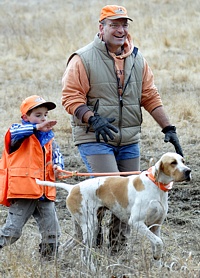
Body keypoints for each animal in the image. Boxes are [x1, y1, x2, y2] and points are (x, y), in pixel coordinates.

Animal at [36, 152, 191, 272]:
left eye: (183, 161)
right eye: (173, 162)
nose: (188, 171)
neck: (156, 185)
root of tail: (73, 187)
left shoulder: (155, 226)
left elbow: (156, 244)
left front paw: (157, 265)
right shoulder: (136, 223)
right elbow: (159, 242)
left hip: (80, 231)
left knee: (65, 247)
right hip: (91, 227)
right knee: (84, 253)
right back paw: (92, 270)